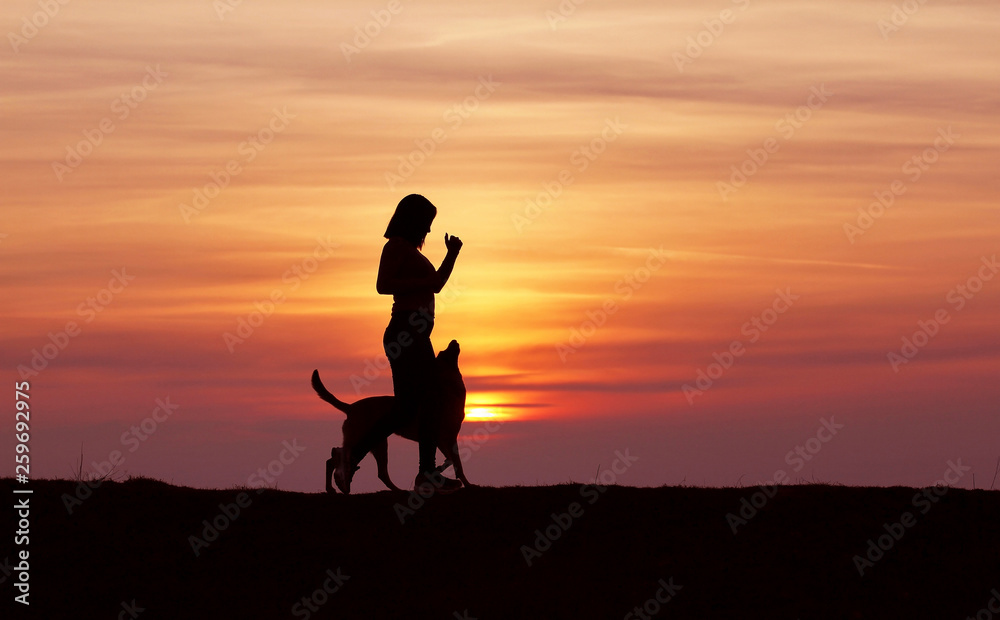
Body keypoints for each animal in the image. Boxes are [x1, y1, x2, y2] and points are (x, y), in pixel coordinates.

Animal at [310, 340, 470, 494]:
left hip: (377, 444)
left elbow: (454, 462)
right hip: (365, 439)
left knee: (379, 472)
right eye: (443, 353)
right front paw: (461, 481)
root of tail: (350, 407)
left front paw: (460, 480)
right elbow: (456, 463)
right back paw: (334, 485)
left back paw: (397, 490)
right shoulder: (443, 439)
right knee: (335, 460)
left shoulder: (445, 440)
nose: (454, 341)